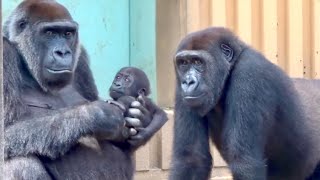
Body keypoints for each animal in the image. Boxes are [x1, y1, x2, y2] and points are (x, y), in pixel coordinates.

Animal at [1, 0, 158, 179]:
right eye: (49, 33)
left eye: (68, 33)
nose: (63, 52)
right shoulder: (4, 53)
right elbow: (6, 132)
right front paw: (98, 115)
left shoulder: (80, 54)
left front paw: (143, 117)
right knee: (20, 161)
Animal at [170, 27, 320, 180]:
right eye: (183, 63)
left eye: (198, 62)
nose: (188, 82)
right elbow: (191, 159)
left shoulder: (250, 73)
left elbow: (244, 163)